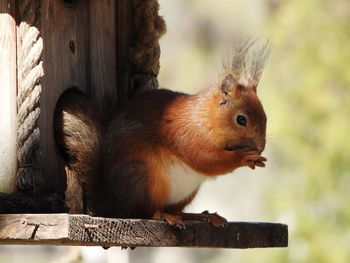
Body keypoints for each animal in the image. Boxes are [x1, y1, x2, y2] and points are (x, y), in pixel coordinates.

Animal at [53, 39, 270, 229]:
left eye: (265, 117)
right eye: (241, 119)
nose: (261, 147)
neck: (204, 118)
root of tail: (110, 203)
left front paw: (256, 159)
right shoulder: (187, 134)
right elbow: (205, 159)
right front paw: (244, 157)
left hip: (185, 192)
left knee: (177, 210)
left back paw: (202, 216)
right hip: (141, 177)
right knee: (142, 211)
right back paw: (162, 216)